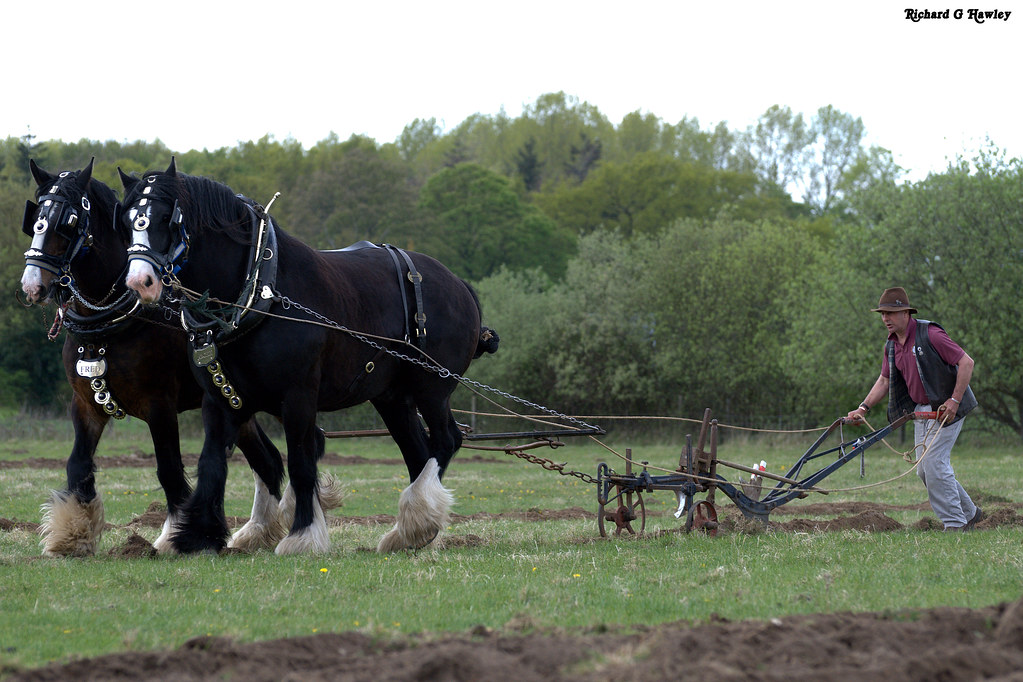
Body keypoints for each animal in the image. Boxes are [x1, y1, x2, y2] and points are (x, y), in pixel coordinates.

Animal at [19, 159, 297, 556]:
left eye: (69, 221)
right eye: (36, 218)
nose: (32, 285)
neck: (109, 326)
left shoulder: (159, 405)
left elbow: (168, 468)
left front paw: (170, 536)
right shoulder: (85, 404)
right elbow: (78, 464)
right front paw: (72, 534)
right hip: (236, 405)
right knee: (269, 461)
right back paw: (256, 533)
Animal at [120, 159, 498, 554]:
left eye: (167, 218)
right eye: (128, 220)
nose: (139, 282)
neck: (261, 288)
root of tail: (459, 284)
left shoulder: (299, 395)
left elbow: (301, 462)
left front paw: (302, 535)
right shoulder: (220, 397)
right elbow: (211, 462)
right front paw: (196, 534)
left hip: (432, 388)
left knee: (445, 441)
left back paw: (420, 516)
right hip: (392, 397)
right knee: (418, 450)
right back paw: (410, 531)